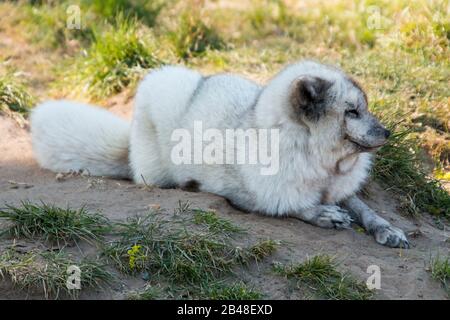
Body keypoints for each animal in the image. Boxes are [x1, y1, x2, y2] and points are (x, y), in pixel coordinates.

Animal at [31, 61, 410, 249]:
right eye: (352, 112)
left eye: (366, 108)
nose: (388, 134)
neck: (323, 166)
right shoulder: (249, 197)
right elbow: (290, 205)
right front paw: (323, 214)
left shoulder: (342, 189)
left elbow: (366, 209)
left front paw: (388, 230)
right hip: (157, 155)